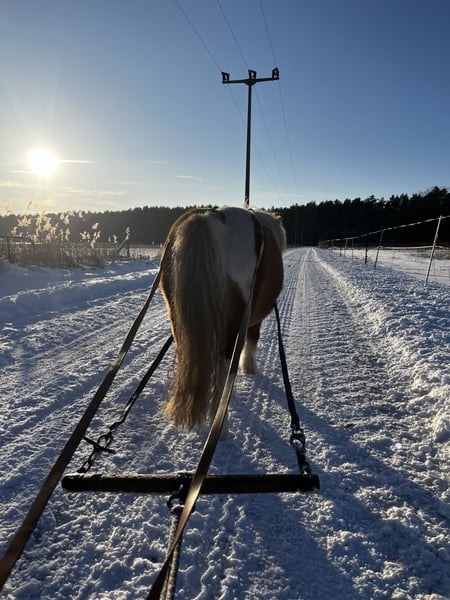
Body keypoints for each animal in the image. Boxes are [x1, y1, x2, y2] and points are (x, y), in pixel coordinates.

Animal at [159, 206, 286, 435]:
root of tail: (209, 219)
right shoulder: (252, 320)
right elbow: (253, 338)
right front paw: (249, 367)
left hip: (178, 323)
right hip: (232, 327)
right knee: (223, 371)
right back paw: (221, 426)